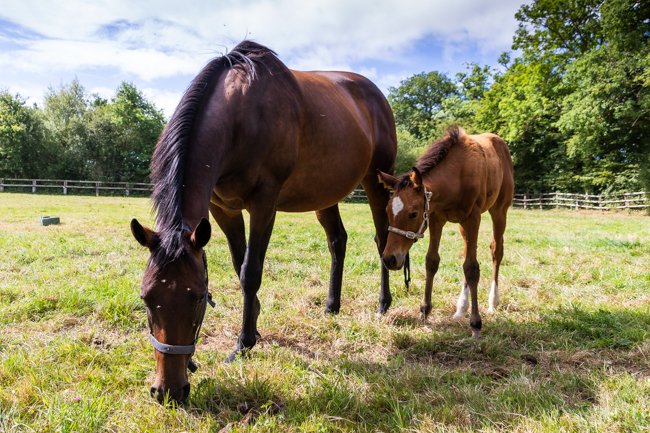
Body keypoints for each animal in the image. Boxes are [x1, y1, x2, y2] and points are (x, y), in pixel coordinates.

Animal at [130, 40, 397, 403]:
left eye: (198, 297)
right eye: (146, 297)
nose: (168, 391)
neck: (242, 115)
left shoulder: (264, 203)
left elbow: (250, 271)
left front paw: (243, 344)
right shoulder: (222, 209)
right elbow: (237, 264)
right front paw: (253, 325)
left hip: (376, 182)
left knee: (383, 239)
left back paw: (383, 304)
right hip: (324, 194)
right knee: (337, 241)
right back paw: (332, 306)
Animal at [377, 126, 513, 338]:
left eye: (413, 213)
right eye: (387, 211)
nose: (389, 259)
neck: (457, 174)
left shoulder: (473, 218)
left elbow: (472, 268)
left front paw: (476, 324)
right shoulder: (436, 218)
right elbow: (432, 261)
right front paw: (424, 311)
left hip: (499, 211)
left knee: (496, 251)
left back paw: (493, 302)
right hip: (463, 226)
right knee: (468, 253)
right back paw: (461, 308)